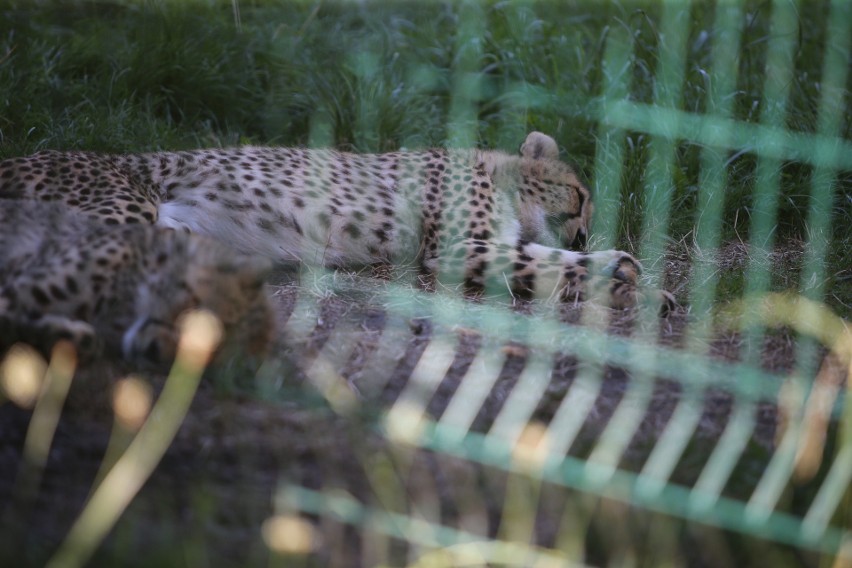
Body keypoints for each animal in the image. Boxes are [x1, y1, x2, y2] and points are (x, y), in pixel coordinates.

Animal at [0, 133, 664, 310]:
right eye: (579, 195)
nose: (586, 230)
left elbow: (537, 257)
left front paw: (617, 269)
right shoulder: (450, 251)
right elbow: (535, 260)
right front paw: (622, 276)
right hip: (122, 210)